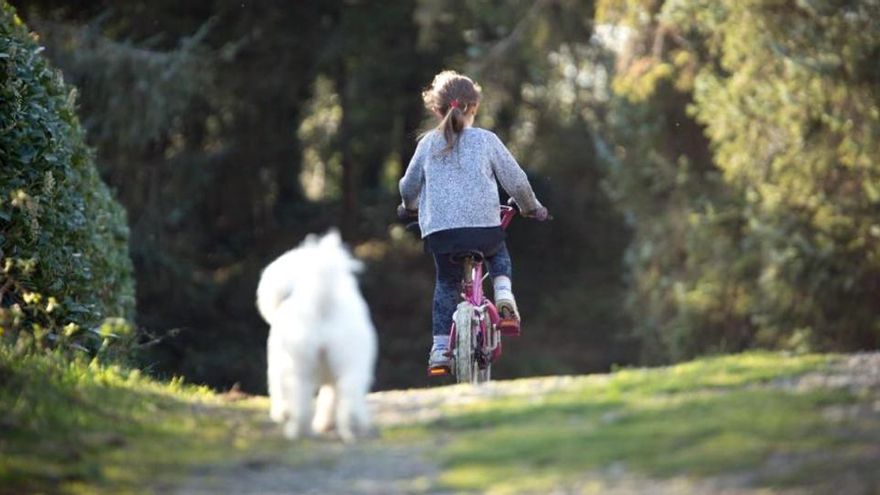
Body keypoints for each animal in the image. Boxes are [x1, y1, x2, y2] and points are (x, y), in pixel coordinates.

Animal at [256, 231, 376, 444]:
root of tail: (322, 299)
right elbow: (330, 398)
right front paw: (325, 423)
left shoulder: (278, 366)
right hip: (349, 364)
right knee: (348, 397)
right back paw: (353, 429)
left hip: (300, 366)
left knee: (301, 402)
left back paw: (295, 430)